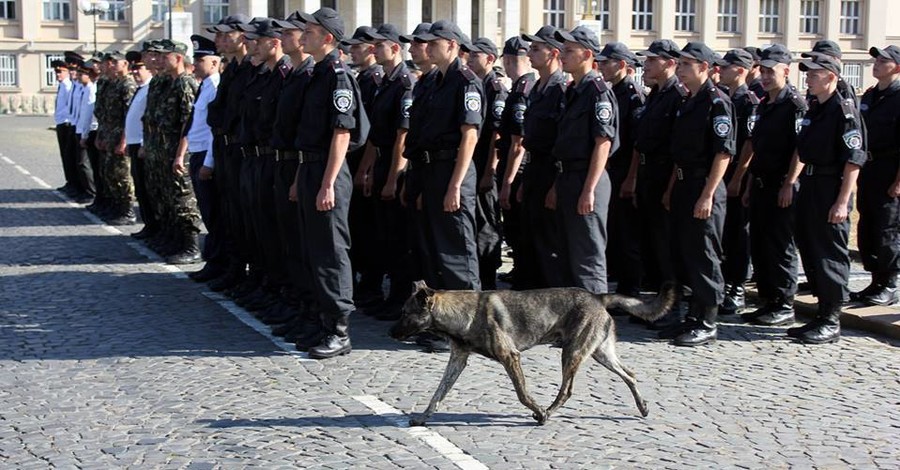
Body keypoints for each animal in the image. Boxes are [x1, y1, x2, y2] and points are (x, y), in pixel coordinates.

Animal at [386, 282, 676, 426]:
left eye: (404, 312)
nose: (390, 332)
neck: (462, 314)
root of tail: (598, 297)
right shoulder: (457, 360)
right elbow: (437, 394)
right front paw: (422, 418)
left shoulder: (510, 357)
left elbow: (522, 394)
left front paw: (538, 411)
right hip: (600, 352)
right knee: (630, 375)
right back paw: (642, 406)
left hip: (572, 352)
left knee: (567, 390)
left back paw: (548, 412)